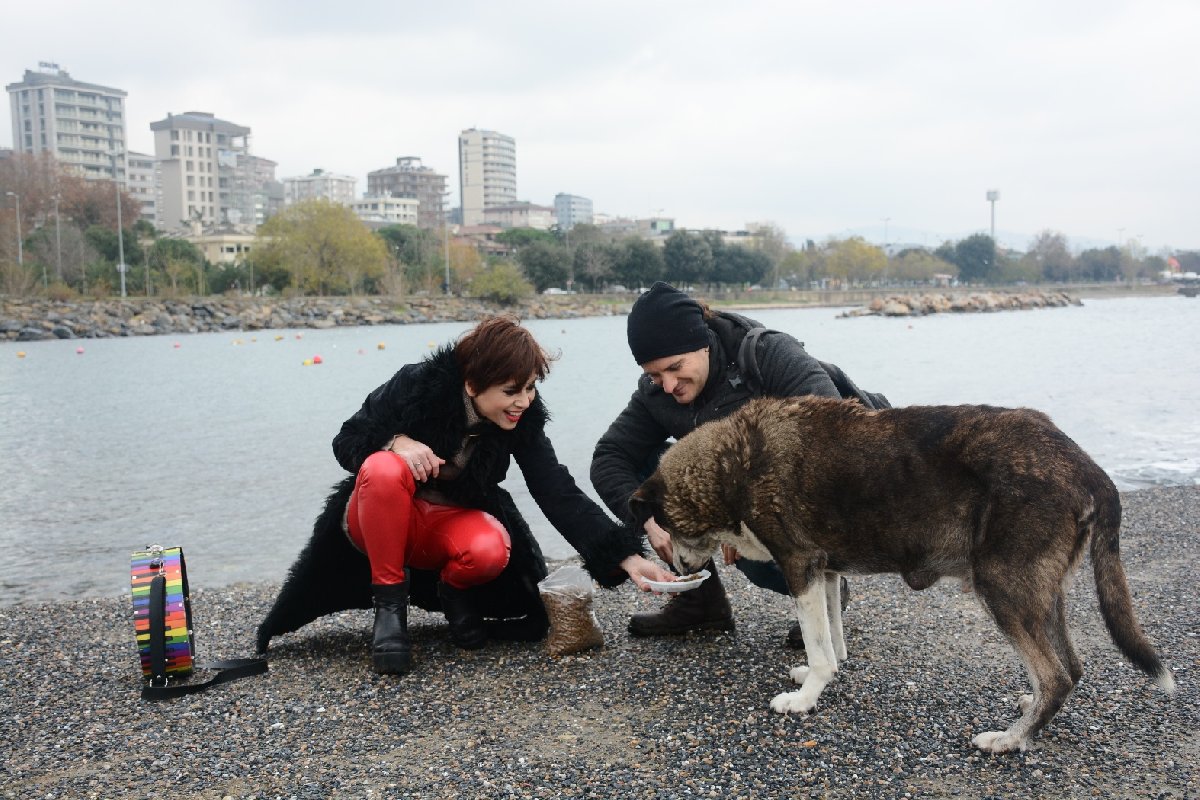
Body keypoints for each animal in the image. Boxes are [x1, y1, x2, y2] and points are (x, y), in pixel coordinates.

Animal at [630, 396, 1175, 753]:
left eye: (665, 528)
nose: (676, 568)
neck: (732, 464)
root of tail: (1083, 462)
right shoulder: (826, 570)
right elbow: (832, 638)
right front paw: (823, 673)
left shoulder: (800, 566)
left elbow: (819, 645)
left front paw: (805, 699)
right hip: (1043, 592)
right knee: (1072, 667)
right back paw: (1030, 714)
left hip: (1002, 588)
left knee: (1056, 675)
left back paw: (1010, 739)